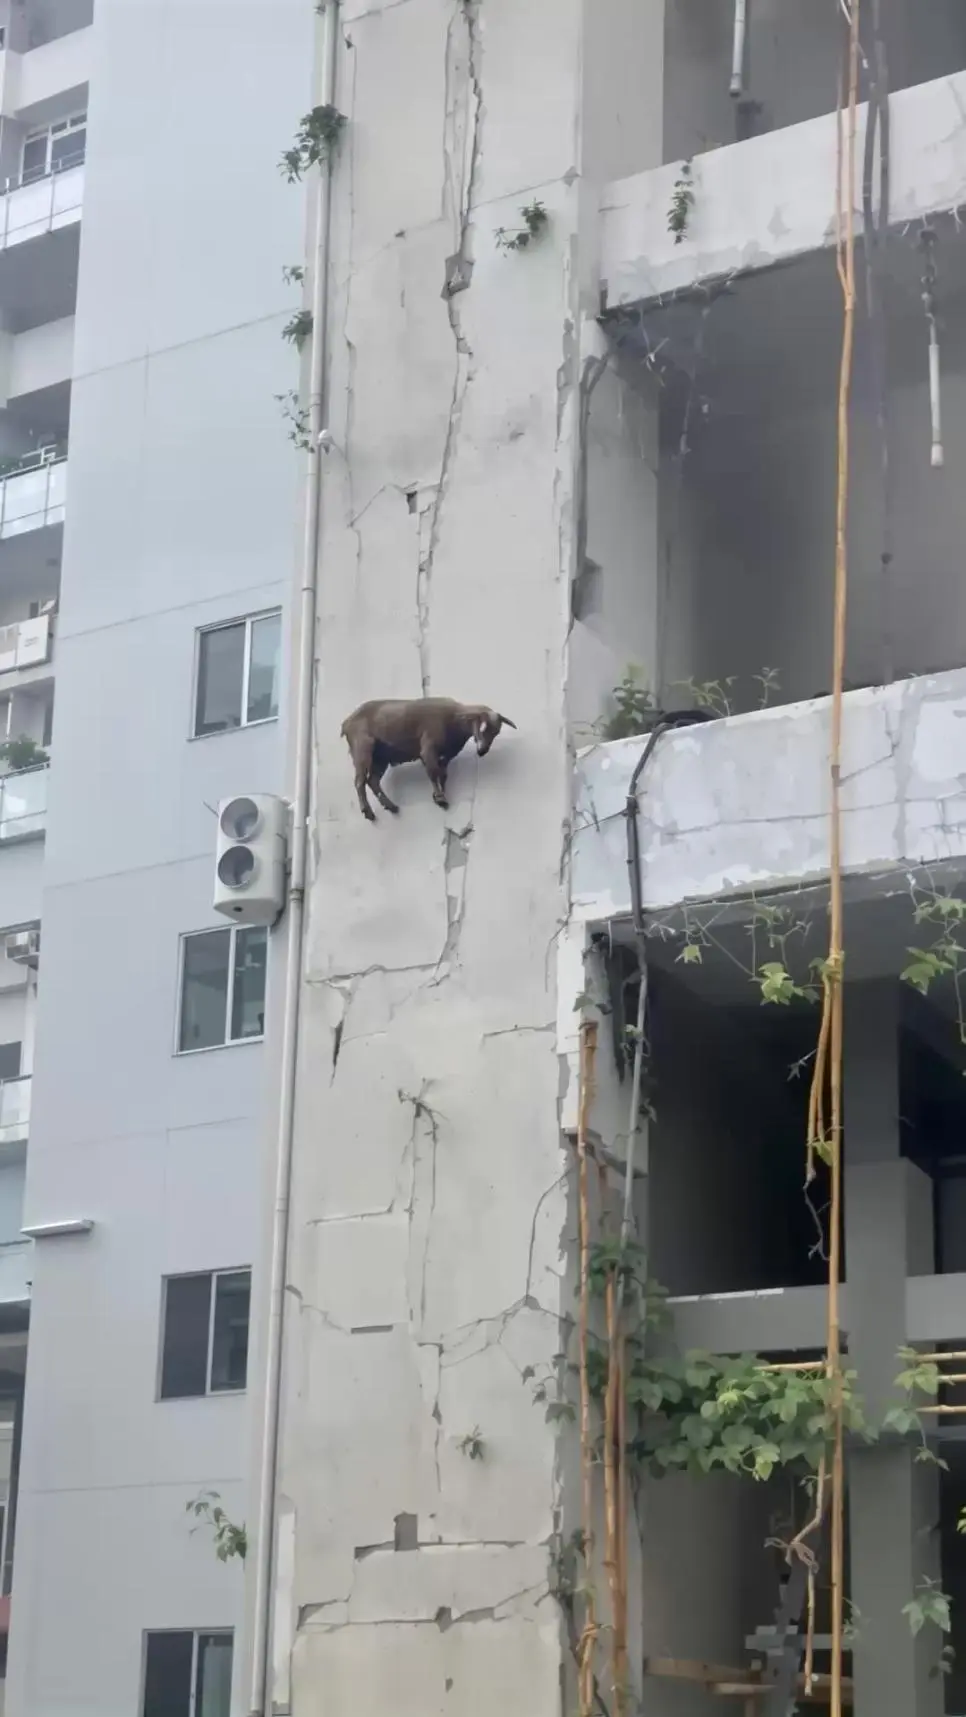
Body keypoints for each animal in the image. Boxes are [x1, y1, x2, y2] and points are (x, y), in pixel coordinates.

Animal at [341, 693, 518, 820]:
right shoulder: (428, 747)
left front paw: (442, 793)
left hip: (380, 758)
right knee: (359, 781)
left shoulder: (447, 755)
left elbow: (443, 774)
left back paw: (391, 806)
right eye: (483, 727)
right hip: (362, 748)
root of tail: (347, 722)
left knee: (373, 781)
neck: (455, 721)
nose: (482, 751)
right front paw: (440, 799)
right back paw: (367, 811)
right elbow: (433, 772)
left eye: (496, 732)